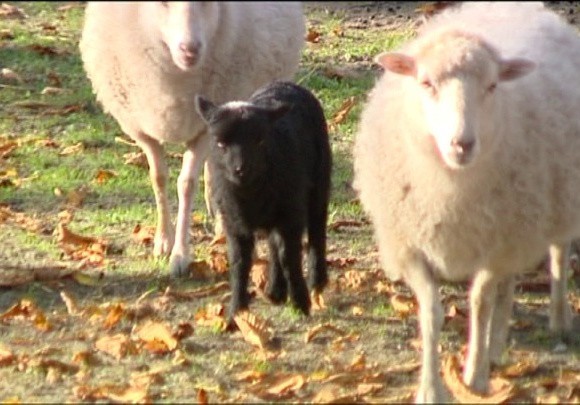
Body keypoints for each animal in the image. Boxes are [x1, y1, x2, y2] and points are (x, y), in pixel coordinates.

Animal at [79, 1, 306, 276]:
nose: (190, 49)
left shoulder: (204, 130)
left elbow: (186, 184)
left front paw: (180, 255)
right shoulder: (142, 128)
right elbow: (158, 178)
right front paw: (163, 240)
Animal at [195, 80, 330, 324]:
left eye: (259, 140)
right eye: (220, 144)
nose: (240, 169)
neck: (250, 194)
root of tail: (286, 84)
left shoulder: (291, 214)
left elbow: (290, 257)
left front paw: (301, 303)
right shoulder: (234, 222)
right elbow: (239, 262)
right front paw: (236, 312)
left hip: (319, 180)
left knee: (317, 227)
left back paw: (317, 280)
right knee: (273, 242)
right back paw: (275, 290)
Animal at [354, 2, 580, 400]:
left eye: (492, 86)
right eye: (425, 83)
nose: (462, 144)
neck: (450, 190)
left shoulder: (496, 245)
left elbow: (479, 303)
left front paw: (474, 377)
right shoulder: (411, 245)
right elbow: (432, 311)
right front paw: (430, 389)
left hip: (554, 199)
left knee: (557, 251)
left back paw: (558, 319)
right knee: (510, 281)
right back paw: (497, 345)